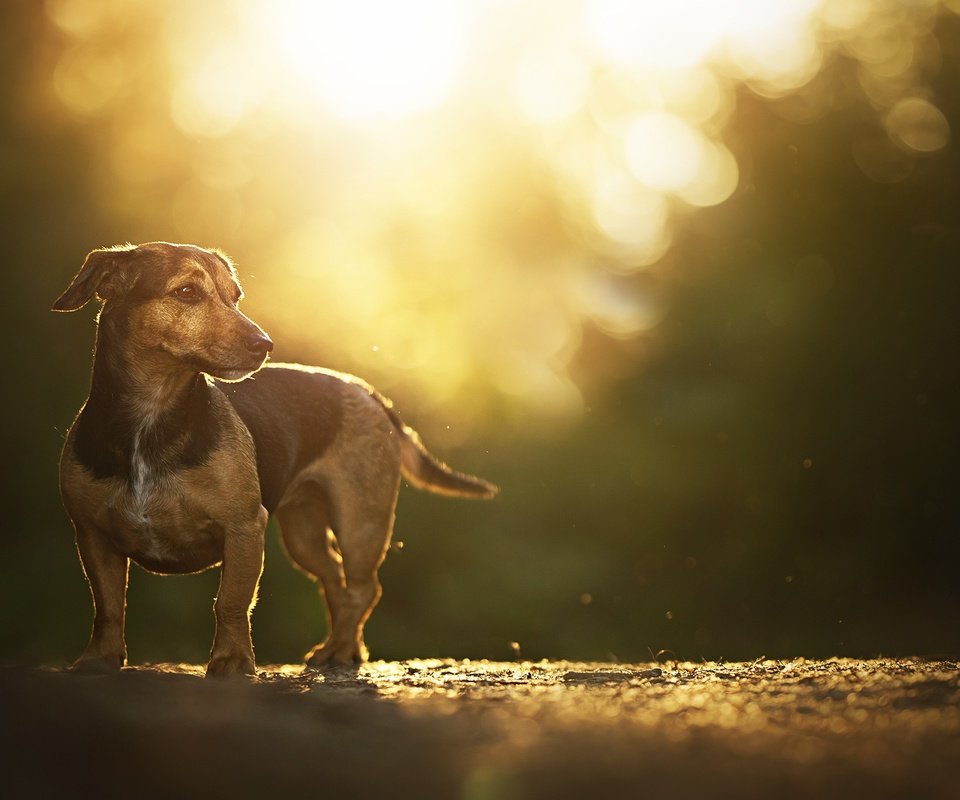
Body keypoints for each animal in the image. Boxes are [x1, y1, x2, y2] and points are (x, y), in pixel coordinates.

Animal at [53, 242, 498, 676]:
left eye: (235, 296)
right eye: (187, 292)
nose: (263, 344)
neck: (152, 420)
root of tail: (368, 392)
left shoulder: (244, 528)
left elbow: (230, 603)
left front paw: (233, 661)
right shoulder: (91, 534)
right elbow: (108, 605)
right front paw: (99, 659)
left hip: (361, 522)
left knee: (363, 587)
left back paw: (339, 650)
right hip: (303, 532)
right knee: (335, 580)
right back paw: (344, 648)